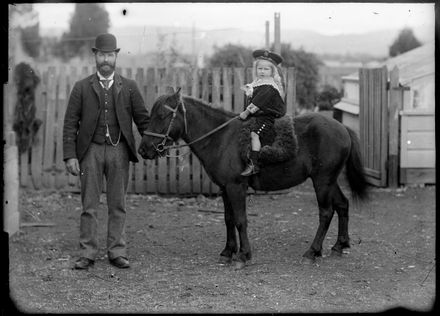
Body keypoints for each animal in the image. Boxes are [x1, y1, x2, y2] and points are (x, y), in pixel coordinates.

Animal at [138, 89, 368, 270]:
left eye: (162, 115)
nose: (143, 150)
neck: (221, 138)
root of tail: (342, 128)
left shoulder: (236, 187)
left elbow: (241, 220)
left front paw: (243, 255)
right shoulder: (225, 189)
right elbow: (228, 219)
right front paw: (227, 252)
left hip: (322, 181)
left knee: (326, 213)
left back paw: (312, 252)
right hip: (330, 181)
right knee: (342, 205)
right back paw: (339, 245)